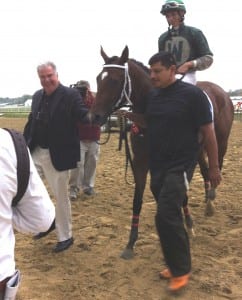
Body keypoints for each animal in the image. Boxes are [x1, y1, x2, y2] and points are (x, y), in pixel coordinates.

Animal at [89, 45, 234, 258]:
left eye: (115, 80)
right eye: (99, 78)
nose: (95, 117)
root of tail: (222, 93)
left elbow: (176, 191)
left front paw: (187, 225)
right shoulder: (141, 161)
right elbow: (140, 198)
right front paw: (131, 243)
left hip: (220, 141)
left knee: (217, 165)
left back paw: (211, 199)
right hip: (198, 150)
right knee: (205, 170)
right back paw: (207, 201)